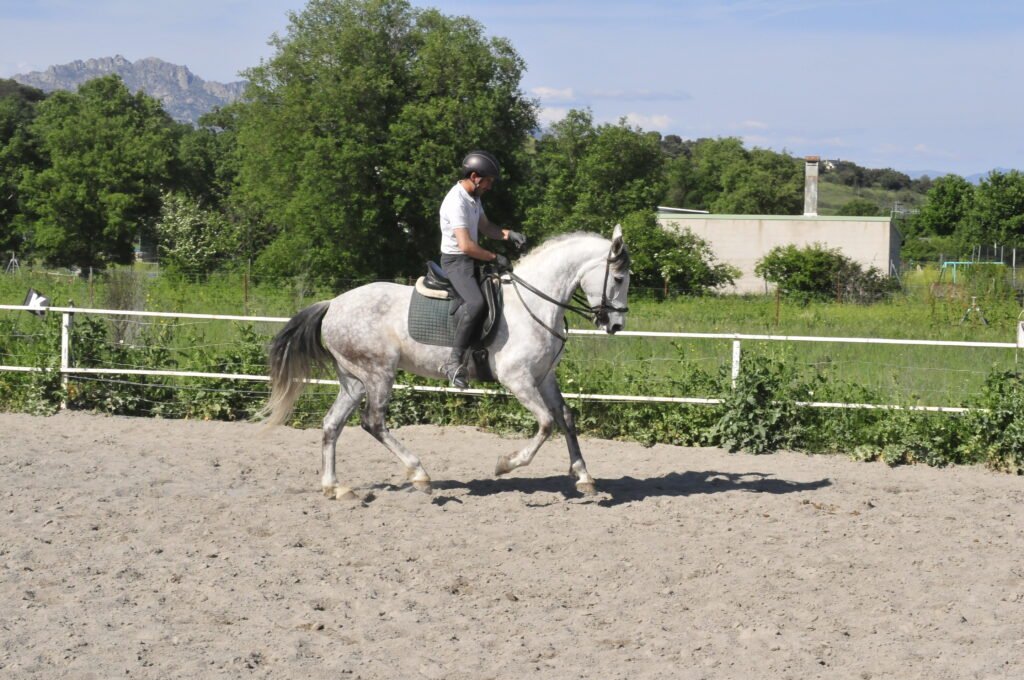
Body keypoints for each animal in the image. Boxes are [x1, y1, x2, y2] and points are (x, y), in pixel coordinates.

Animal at [260, 225, 631, 499]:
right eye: (619, 278)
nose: (615, 325)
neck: (534, 302)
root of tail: (333, 304)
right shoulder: (518, 378)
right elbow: (545, 423)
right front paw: (506, 464)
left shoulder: (544, 377)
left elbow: (565, 418)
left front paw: (583, 476)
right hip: (378, 373)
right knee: (373, 422)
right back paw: (419, 474)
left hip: (354, 380)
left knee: (331, 425)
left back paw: (335, 487)